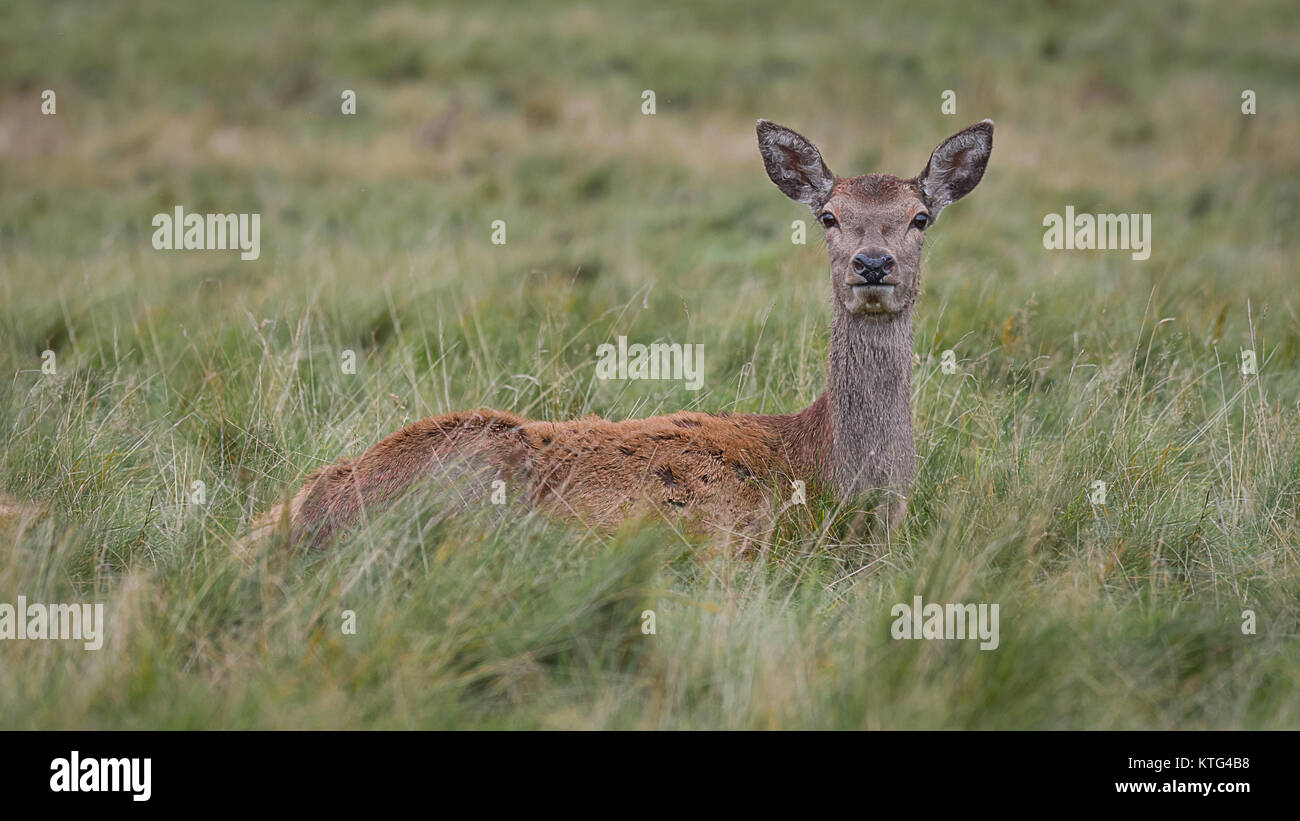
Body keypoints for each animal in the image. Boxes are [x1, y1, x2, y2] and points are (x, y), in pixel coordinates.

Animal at [241, 116, 993, 550]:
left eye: (921, 216)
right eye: (829, 216)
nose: (873, 264)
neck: (834, 478)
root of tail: (300, 513)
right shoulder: (735, 544)